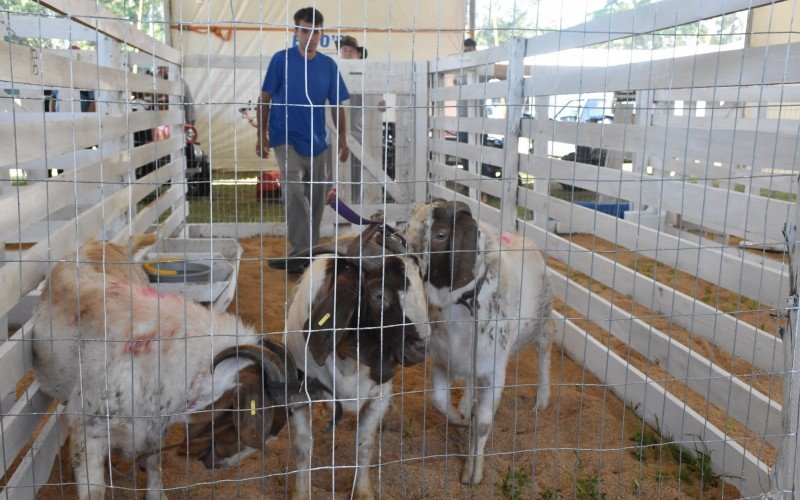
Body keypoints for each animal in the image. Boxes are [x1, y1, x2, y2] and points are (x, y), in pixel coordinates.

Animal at [31, 240, 296, 498]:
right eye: (235, 424)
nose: (218, 464)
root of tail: (99, 242)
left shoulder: (156, 427)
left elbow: (154, 464)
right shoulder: (88, 431)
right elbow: (94, 489)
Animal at [282, 225, 428, 498]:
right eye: (379, 295)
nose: (421, 347)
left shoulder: (378, 397)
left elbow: (365, 445)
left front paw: (362, 491)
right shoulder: (299, 395)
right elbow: (302, 448)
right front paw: (301, 492)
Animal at [404, 199, 552, 484]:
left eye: (441, 235)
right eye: (407, 230)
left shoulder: (494, 374)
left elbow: (483, 424)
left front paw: (474, 472)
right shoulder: (442, 362)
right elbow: (439, 402)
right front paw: (460, 419)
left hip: (542, 321)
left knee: (544, 354)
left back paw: (542, 401)